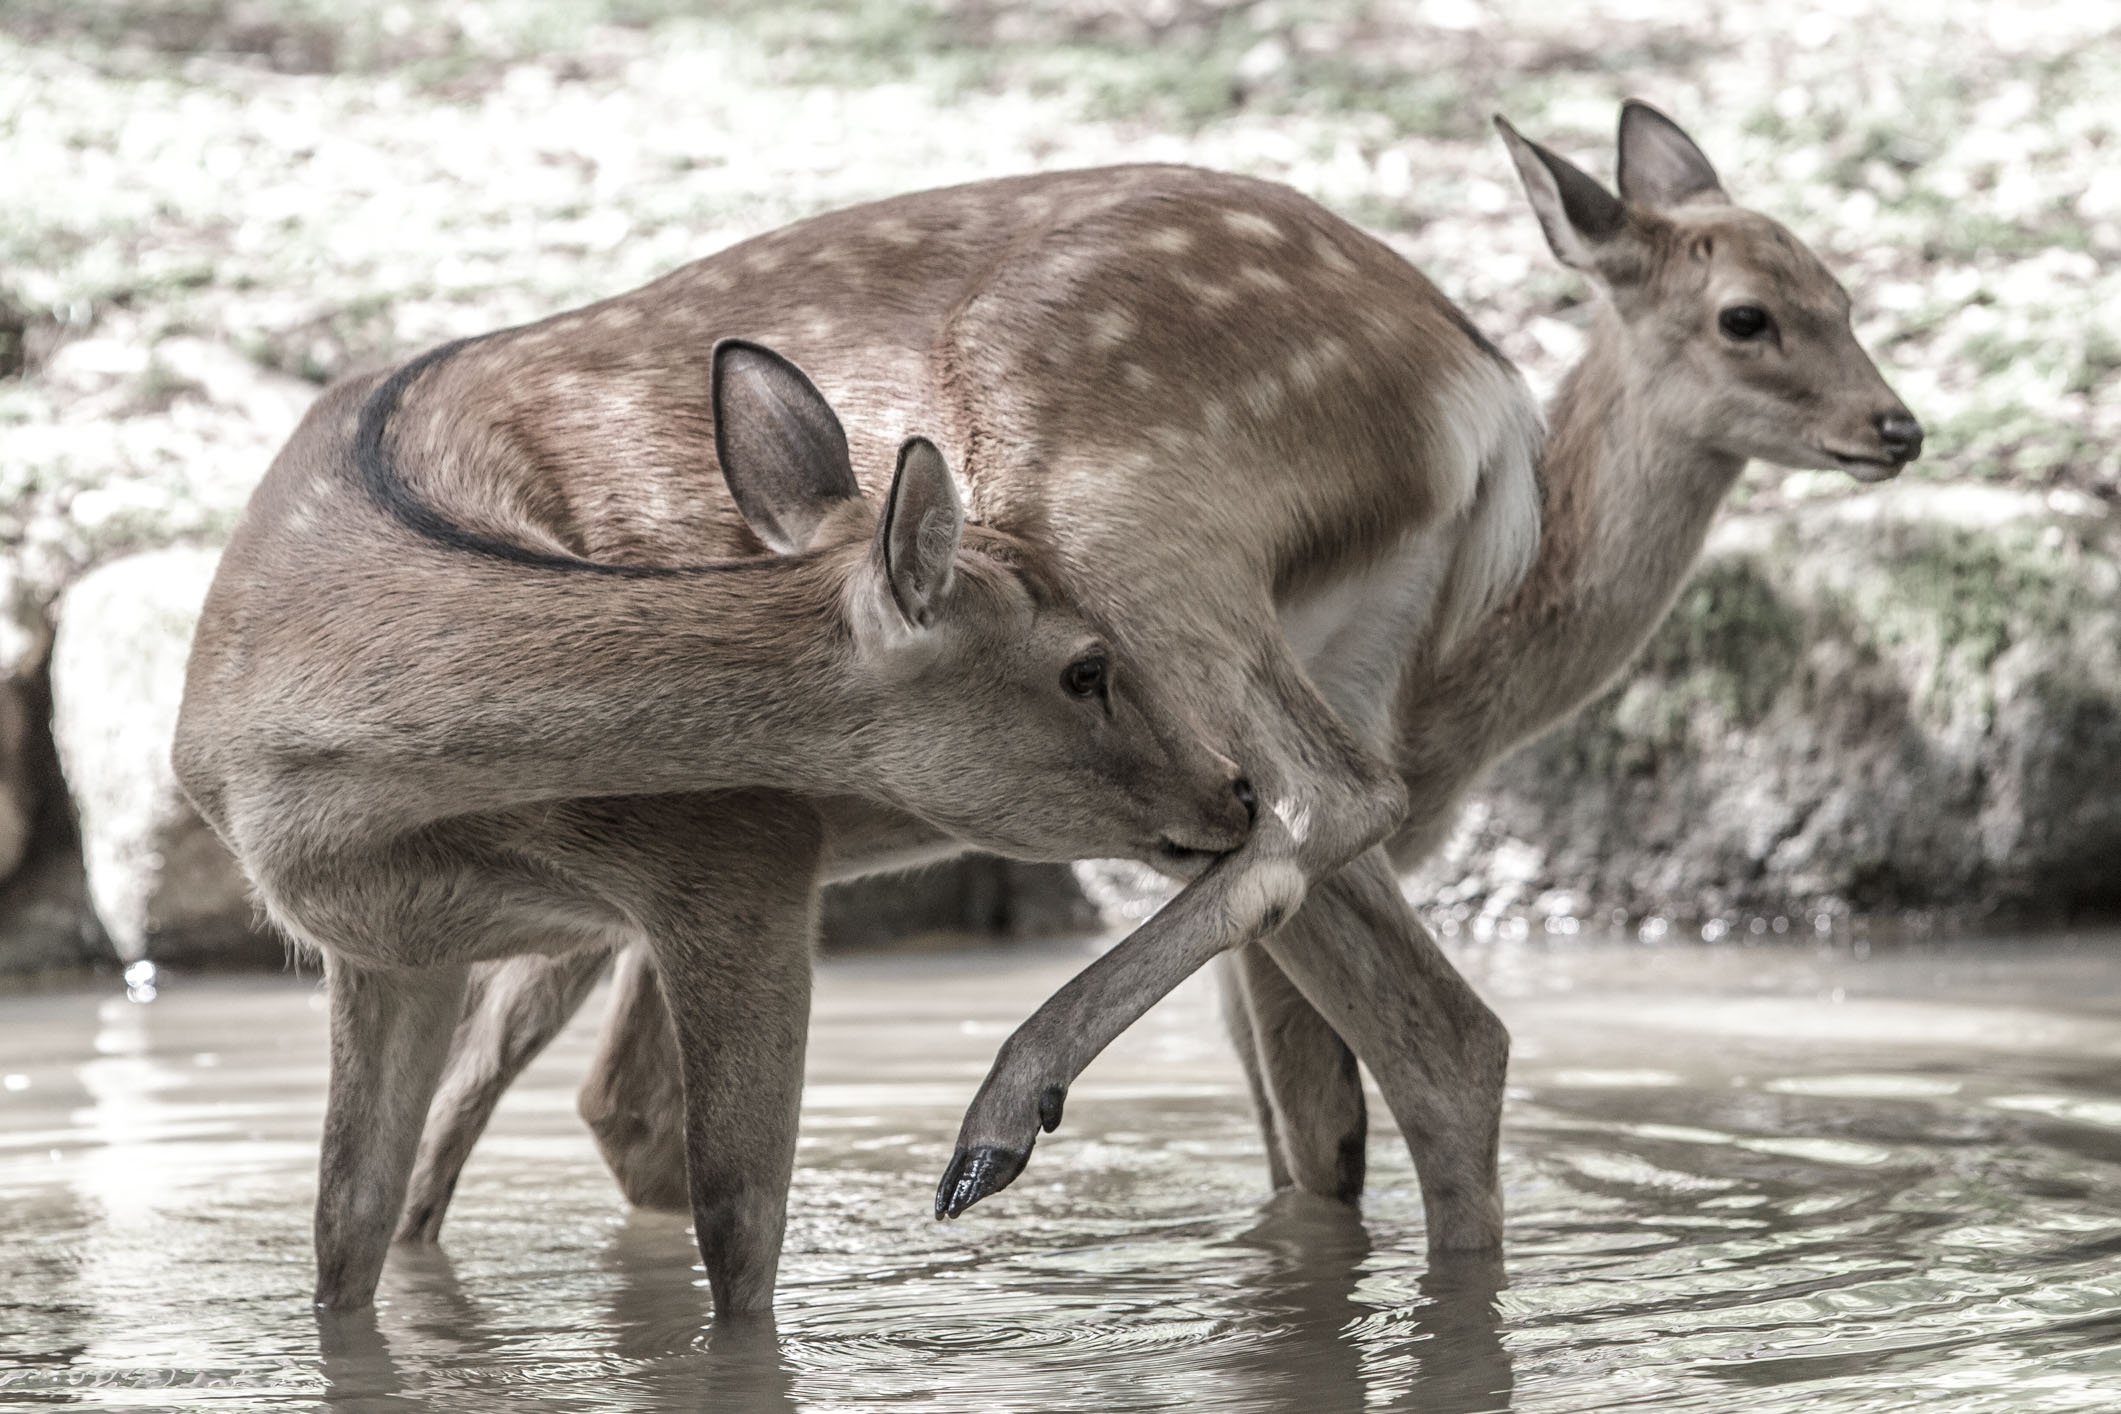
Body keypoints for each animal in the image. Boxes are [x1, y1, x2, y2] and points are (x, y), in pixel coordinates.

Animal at [172, 330, 1265, 1315]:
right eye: (1086, 667)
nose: (1234, 790)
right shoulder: (389, 949)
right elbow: (343, 1224)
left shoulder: (740, 851)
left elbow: (738, 1219)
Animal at [325, 100, 1923, 1302]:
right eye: (1748, 316)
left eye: (1847, 293)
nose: (1897, 427)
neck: (1495, 671)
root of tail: (1472, 389)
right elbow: (1306, 1113)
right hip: (1123, 514)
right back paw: (997, 1124)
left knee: (1425, 1002)